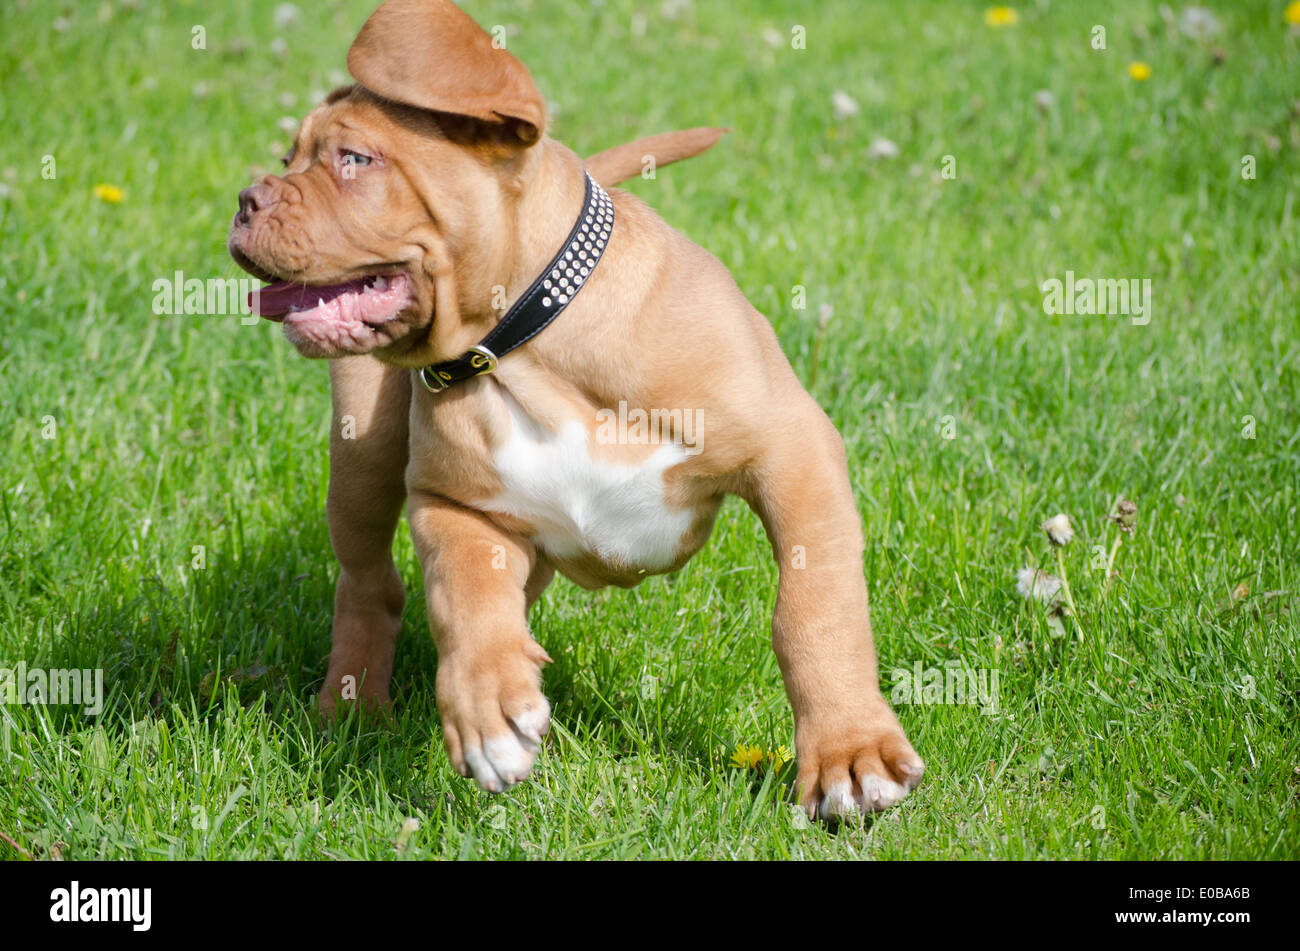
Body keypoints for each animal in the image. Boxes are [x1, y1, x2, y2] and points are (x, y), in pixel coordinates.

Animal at [233, 0, 925, 815]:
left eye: (354, 161)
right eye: (289, 158)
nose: (246, 200)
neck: (527, 344)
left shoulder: (793, 453)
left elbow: (814, 604)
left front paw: (849, 751)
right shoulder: (454, 503)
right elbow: (465, 597)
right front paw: (487, 710)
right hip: (363, 461)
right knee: (371, 581)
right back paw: (353, 707)